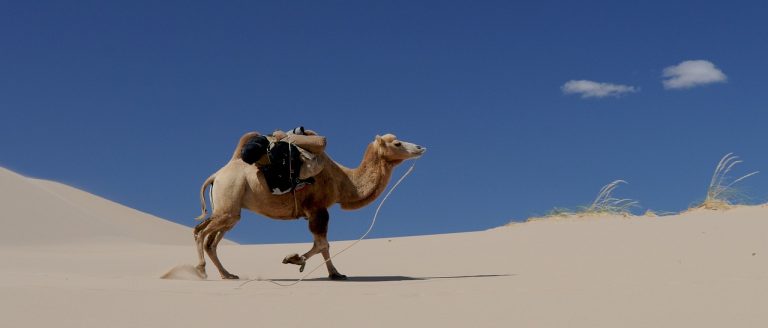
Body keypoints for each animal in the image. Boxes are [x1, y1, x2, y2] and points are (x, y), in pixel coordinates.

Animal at [189, 132, 424, 280]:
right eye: (397, 144)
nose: (420, 147)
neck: (344, 181)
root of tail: (216, 175)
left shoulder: (316, 211)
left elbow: (323, 245)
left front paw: (335, 274)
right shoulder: (318, 209)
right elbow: (322, 244)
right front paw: (294, 259)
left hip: (230, 211)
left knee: (211, 241)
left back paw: (227, 274)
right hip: (228, 200)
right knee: (200, 232)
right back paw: (200, 270)